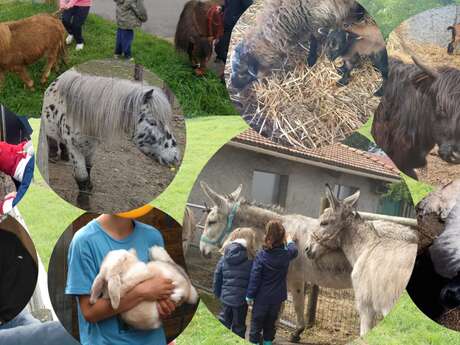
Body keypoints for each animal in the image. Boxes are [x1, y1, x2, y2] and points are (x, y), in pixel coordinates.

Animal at [42, 68, 180, 206]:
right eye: (152, 122)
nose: (175, 157)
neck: (79, 115)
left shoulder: (91, 146)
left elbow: (89, 167)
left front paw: (90, 187)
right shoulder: (75, 149)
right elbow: (82, 176)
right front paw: (83, 202)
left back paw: (64, 156)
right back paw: (53, 155)